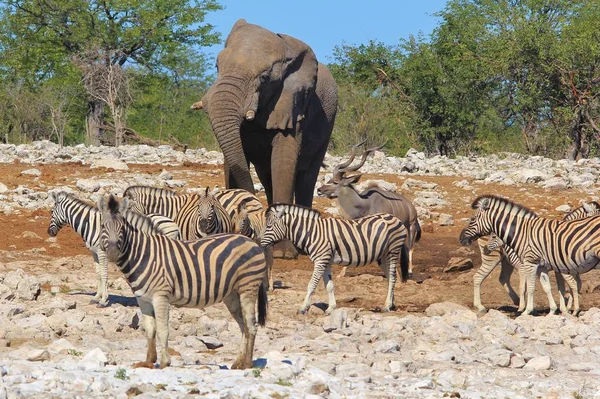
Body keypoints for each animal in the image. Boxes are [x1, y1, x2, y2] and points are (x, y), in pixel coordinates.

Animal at [47, 192, 179, 308]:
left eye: (52, 211)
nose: (49, 232)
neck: (91, 225)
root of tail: (175, 224)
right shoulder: (94, 253)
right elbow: (98, 274)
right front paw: (97, 297)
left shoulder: (102, 253)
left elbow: (104, 274)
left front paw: (103, 300)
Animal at [98, 195, 268, 370]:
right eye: (103, 226)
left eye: (122, 228)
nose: (112, 254)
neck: (144, 255)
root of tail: (251, 242)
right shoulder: (142, 299)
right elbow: (150, 329)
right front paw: (149, 361)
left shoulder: (161, 297)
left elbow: (163, 329)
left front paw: (164, 362)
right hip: (232, 294)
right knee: (243, 326)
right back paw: (238, 363)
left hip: (248, 288)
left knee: (251, 326)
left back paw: (247, 364)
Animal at [197, 18, 338, 260]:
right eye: (217, 67)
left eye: (264, 78)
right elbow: (233, 158)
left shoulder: (293, 105)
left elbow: (283, 162)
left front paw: (283, 253)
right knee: (266, 176)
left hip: (327, 126)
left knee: (306, 177)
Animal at [260, 205, 410, 314]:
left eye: (269, 226)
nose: (260, 243)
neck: (312, 233)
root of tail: (394, 217)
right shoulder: (325, 262)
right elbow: (329, 286)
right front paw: (331, 308)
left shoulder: (320, 260)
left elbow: (311, 285)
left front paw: (303, 308)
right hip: (382, 256)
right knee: (391, 278)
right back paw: (391, 304)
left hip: (393, 251)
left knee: (393, 277)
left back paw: (387, 306)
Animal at [462, 195, 600, 318]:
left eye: (472, 219)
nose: (462, 239)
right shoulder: (549, 266)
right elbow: (551, 287)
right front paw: (561, 309)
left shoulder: (554, 266)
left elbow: (566, 286)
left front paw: (565, 309)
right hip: (494, 259)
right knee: (481, 277)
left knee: (498, 278)